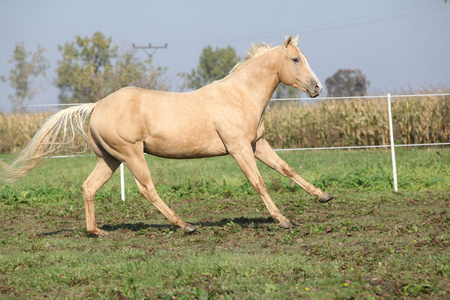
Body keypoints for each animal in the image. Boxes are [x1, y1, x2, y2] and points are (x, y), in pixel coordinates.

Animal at [0, 36, 334, 236]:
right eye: (295, 60)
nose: (317, 88)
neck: (240, 95)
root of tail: (96, 106)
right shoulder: (239, 148)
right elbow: (259, 182)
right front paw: (284, 220)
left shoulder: (257, 144)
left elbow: (286, 168)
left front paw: (323, 196)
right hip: (131, 154)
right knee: (146, 189)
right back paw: (185, 225)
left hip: (109, 159)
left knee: (88, 187)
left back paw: (97, 231)